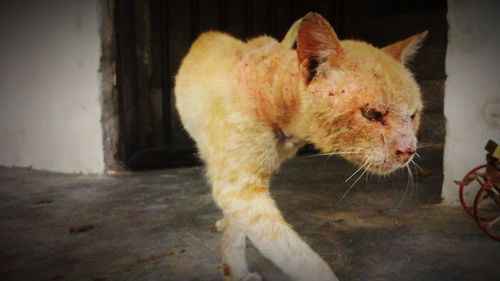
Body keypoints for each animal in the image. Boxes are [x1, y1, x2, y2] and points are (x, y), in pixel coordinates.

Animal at [175, 12, 426, 280]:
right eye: (371, 114)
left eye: (413, 115)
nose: (409, 150)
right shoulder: (239, 188)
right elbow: (302, 258)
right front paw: (236, 270)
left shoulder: (241, 186)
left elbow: (237, 231)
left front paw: (234, 267)